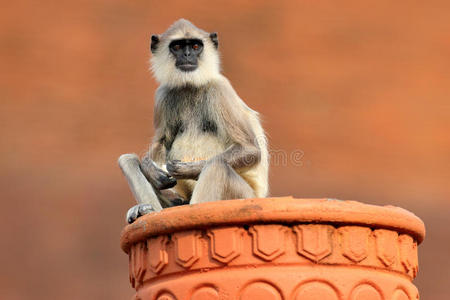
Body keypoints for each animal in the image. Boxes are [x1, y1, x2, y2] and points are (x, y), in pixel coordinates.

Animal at [118, 18, 268, 224]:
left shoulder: (220, 89)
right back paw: (148, 211)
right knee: (127, 160)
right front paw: (150, 169)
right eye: (178, 46)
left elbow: (250, 149)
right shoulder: (163, 94)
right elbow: (160, 142)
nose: (188, 55)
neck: (190, 86)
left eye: (196, 46)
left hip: (244, 198)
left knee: (216, 165)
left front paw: (185, 169)